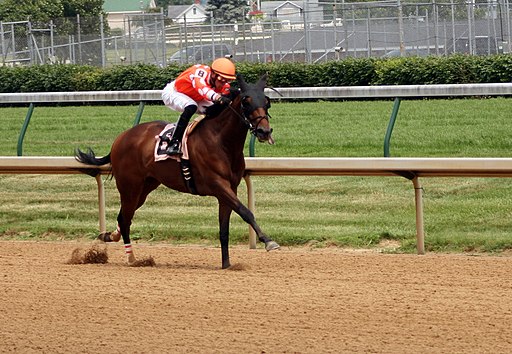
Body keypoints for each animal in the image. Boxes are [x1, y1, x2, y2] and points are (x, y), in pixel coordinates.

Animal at [75, 74, 280, 268]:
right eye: (246, 101)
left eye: (266, 101)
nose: (264, 131)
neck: (221, 141)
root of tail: (121, 138)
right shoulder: (218, 185)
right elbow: (246, 212)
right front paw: (268, 241)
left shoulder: (230, 188)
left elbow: (224, 229)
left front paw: (227, 265)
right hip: (129, 186)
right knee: (125, 219)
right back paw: (132, 258)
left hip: (145, 187)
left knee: (124, 216)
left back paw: (110, 236)